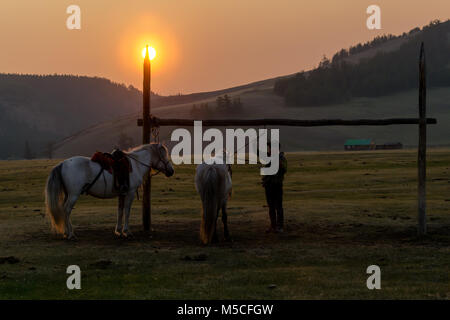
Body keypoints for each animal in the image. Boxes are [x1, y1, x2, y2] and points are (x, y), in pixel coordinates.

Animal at [44, 143, 174, 240]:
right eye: (164, 155)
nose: (171, 171)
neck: (136, 165)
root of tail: (62, 164)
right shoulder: (130, 192)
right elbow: (127, 211)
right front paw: (127, 231)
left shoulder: (122, 193)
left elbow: (120, 211)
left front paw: (118, 231)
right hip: (73, 195)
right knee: (66, 210)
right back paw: (70, 234)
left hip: (68, 194)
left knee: (64, 210)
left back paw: (67, 232)